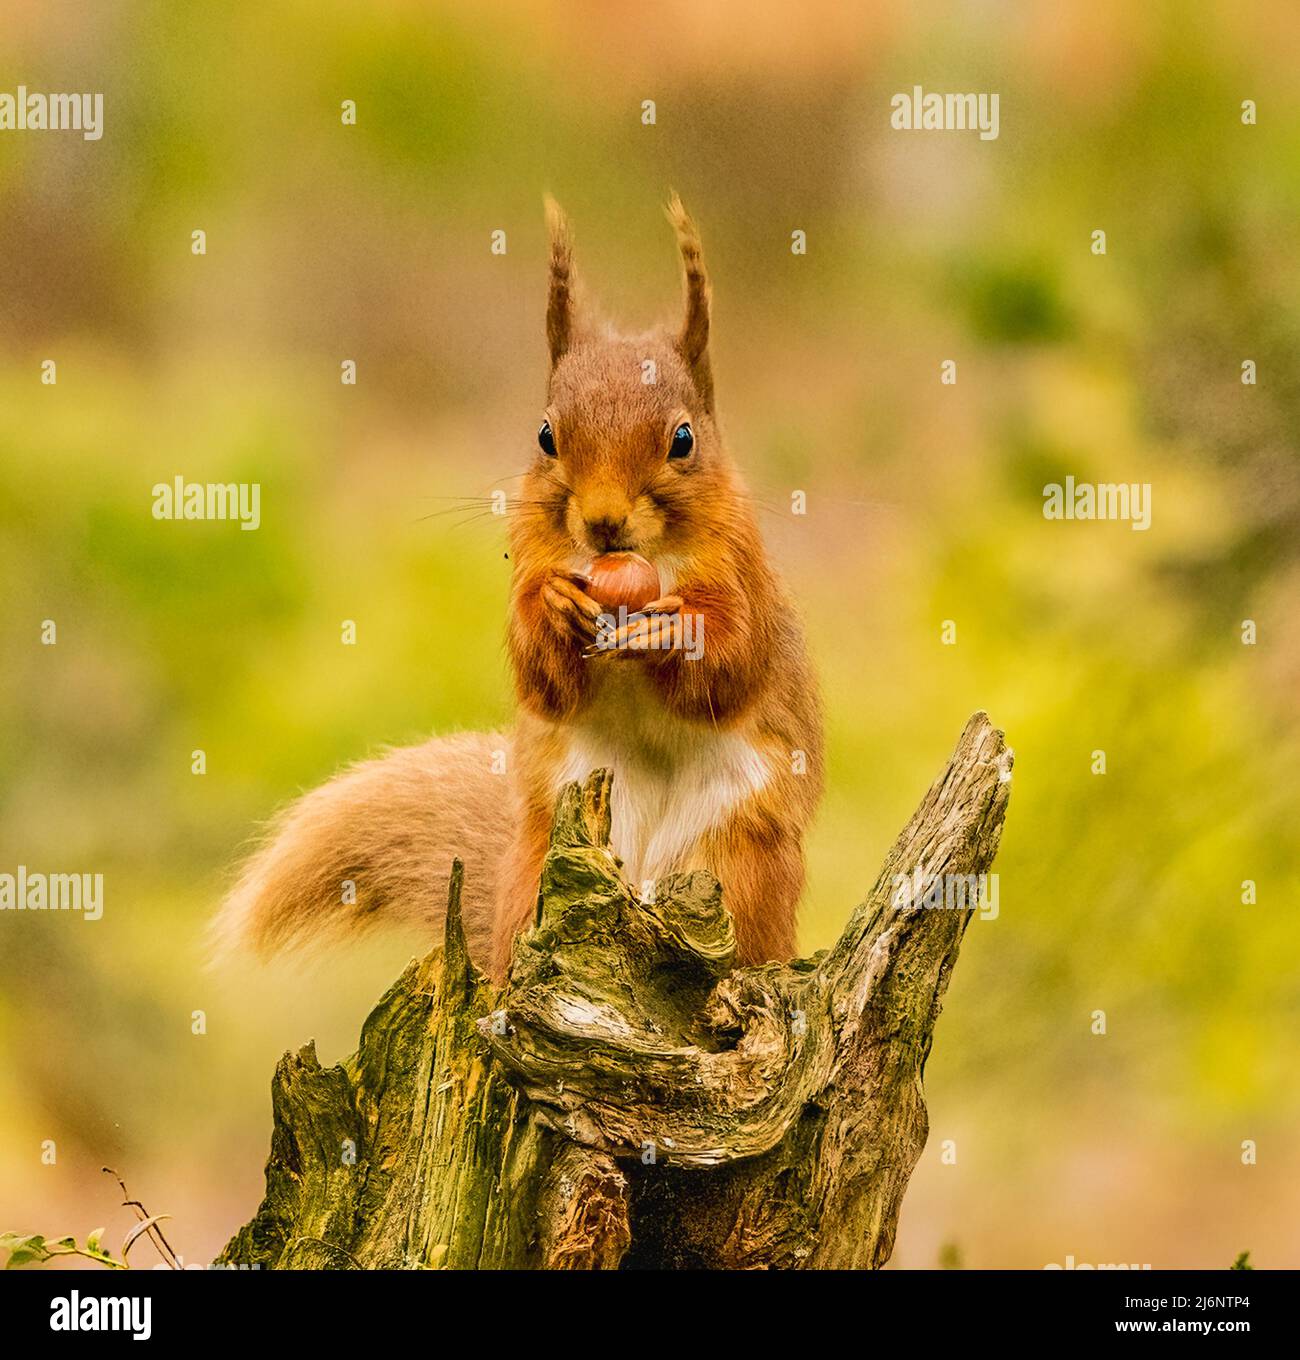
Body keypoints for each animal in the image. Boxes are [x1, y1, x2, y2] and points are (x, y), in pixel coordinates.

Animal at [212, 196, 823, 983]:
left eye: (683, 439)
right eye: (545, 435)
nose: (602, 522)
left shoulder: (743, 576)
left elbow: (735, 664)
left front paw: (673, 631)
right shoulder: (532, 559)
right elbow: (543, 679)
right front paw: (555, 612)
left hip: (738, 864)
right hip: (541, 864)